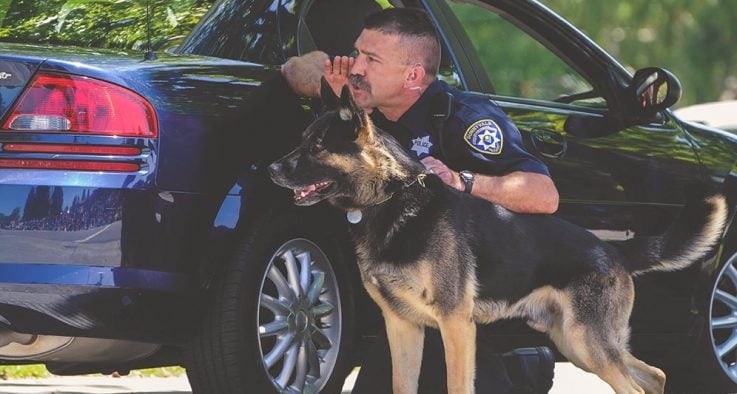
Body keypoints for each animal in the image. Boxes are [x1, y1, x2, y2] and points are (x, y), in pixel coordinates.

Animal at [268, 80, 728, 394]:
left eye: (316, 147)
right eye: (302, 141)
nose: (272, 169)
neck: (391, 198)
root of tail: (610, 249)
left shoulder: (455, 325)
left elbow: (456, 385)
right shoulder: (403, 327)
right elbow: (402, 385)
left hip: (587, 343)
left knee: (635, 383)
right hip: (576, 343)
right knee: (655, 375)